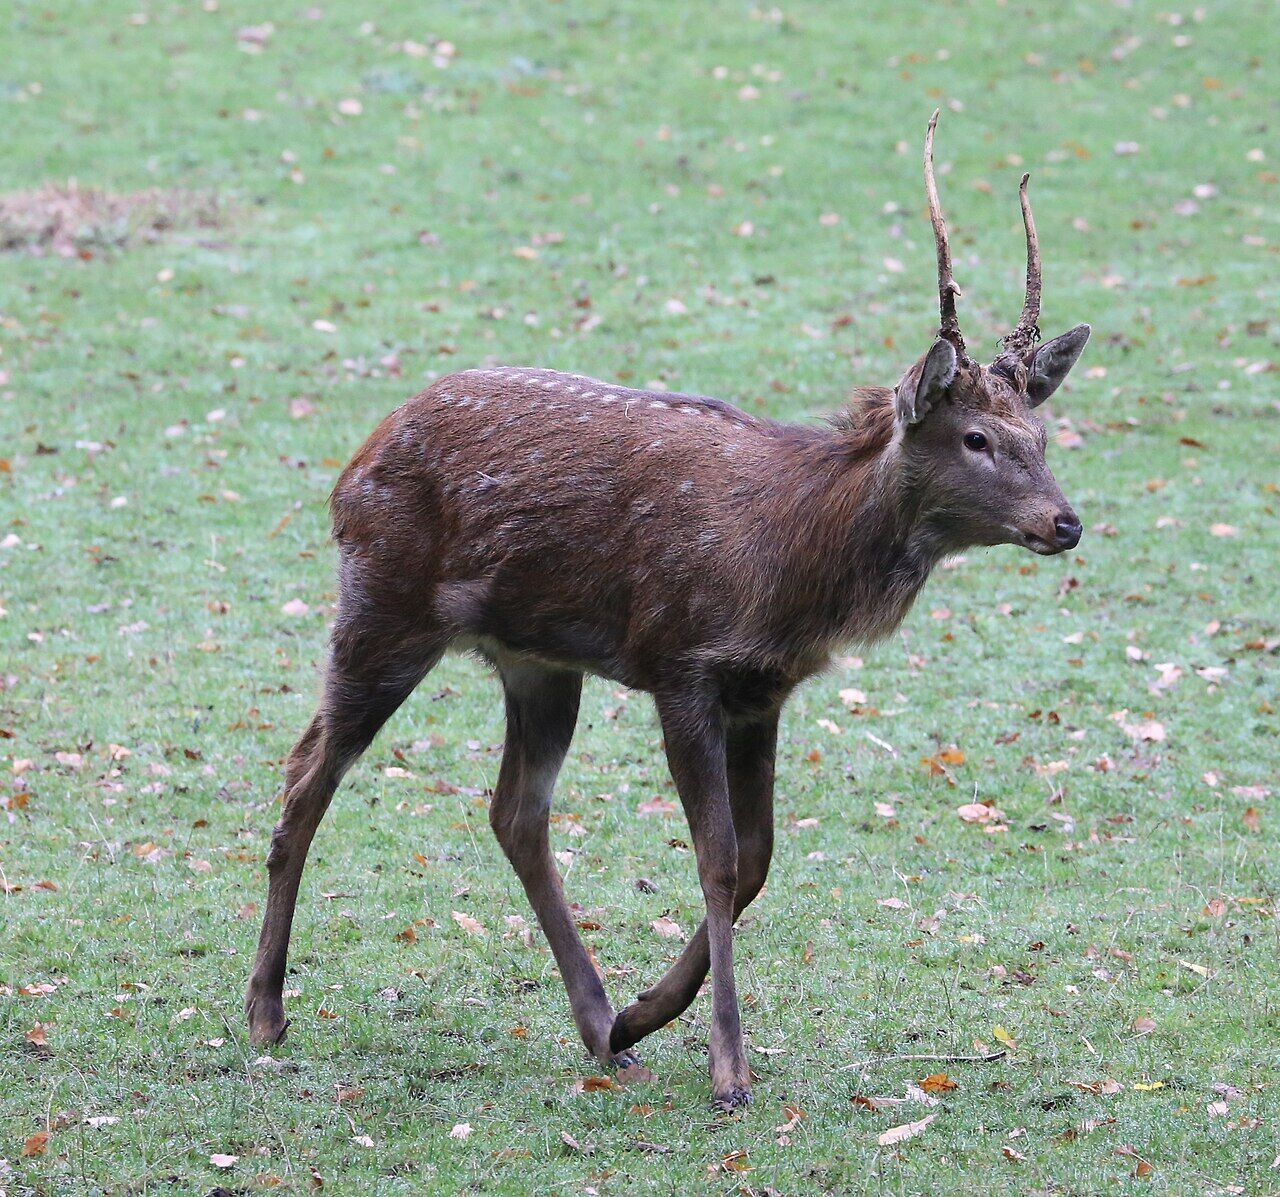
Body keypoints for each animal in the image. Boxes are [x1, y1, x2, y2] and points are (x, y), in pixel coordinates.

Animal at [245, 111, 1090, 1111]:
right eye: (976, 437)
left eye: (1043, 436)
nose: (1065, 521)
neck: (790, 565)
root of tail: (348, 472)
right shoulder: (683, 662)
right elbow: (719, 858)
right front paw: (728, 1067)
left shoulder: (762, 690)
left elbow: (759, 856)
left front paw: (645, 1014)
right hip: (383, 606)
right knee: (307, 772)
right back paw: (265, 1011)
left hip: (538, 659)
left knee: (514, 812)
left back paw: (601, 1028)